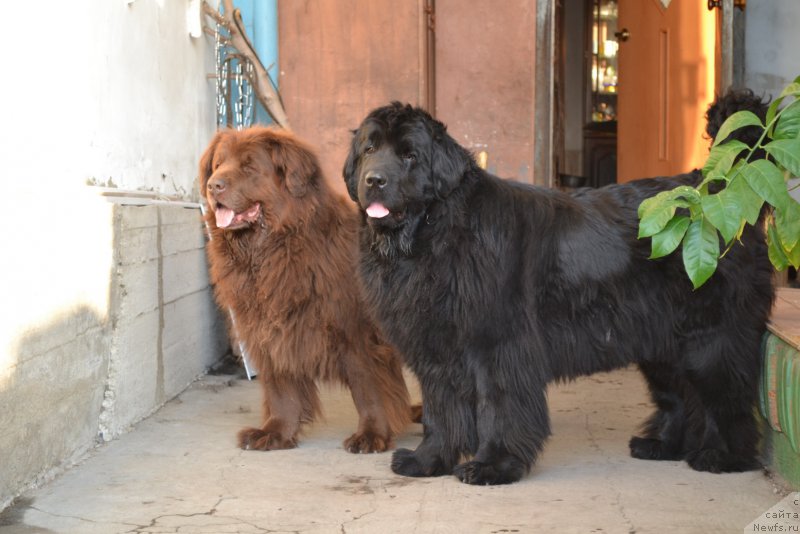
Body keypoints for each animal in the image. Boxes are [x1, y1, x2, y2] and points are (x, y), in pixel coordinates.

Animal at [199, 127, 410, 454]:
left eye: (249, 167)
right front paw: (275, 432)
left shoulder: (357, 330)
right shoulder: (270, 326)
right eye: (218, 165)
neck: (276, 247)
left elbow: (368, 386)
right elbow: (281, 387)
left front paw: (371, 434)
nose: (213, 185)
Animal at [342, 100, 776, 486]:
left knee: (725, 397)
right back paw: (663, 446)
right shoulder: (436, 350)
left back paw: (722, 457)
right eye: (369, 150)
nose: (373, 180)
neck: (436, 233)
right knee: (679, 395)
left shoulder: (498, 345)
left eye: (410, 156)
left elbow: (497, 406)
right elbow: (440, 412)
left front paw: (494, 466)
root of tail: (721, 193)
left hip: (710, 339)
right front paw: (427, 461)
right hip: (661, 342)